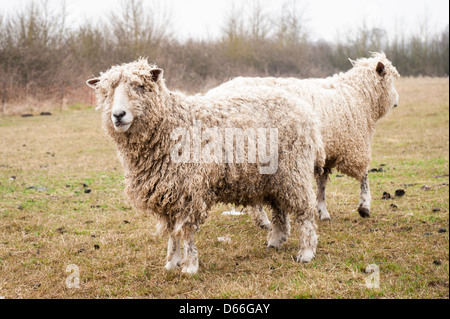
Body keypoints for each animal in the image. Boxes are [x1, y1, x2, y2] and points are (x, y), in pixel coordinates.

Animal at [85, 58, 324, 276]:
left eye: (141, 87)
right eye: (106, 92)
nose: (118, 115)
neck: (173, 123)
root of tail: (306, 112)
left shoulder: (189, 190)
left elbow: (186, 231)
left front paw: (190, 266)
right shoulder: (168, 190)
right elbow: (173, 231)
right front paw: (172, 262)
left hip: (294, 168)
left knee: (305, 211)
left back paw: (306, 252)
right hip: (273, 176)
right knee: (279, 208)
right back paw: (276, 240)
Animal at [206, 52, 400, 222]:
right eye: (390, 80)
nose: (397, 101)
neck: (359, 96)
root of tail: (212, 95)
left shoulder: (329, 150)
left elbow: (322, 183)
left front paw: (323, 211)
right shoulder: (353, 146)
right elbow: (364, 176)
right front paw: (364, 207)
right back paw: (263, 221)